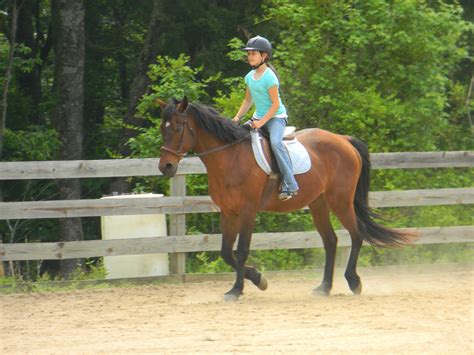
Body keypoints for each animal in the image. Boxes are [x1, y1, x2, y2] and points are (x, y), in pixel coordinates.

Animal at [157, 96, 412, 300]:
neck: (231, 156)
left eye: (178, 127)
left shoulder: (248, 210)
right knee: (331, 241)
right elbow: (226, 252)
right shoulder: (228, 212)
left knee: (357, 234)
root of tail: (343, 140)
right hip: (319, 204)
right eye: (162, 128)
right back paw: (324, 287)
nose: (165, 167)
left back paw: (353, 281)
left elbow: (241, 250)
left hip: (340, 201)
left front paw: (237, 290)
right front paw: (258, 279)